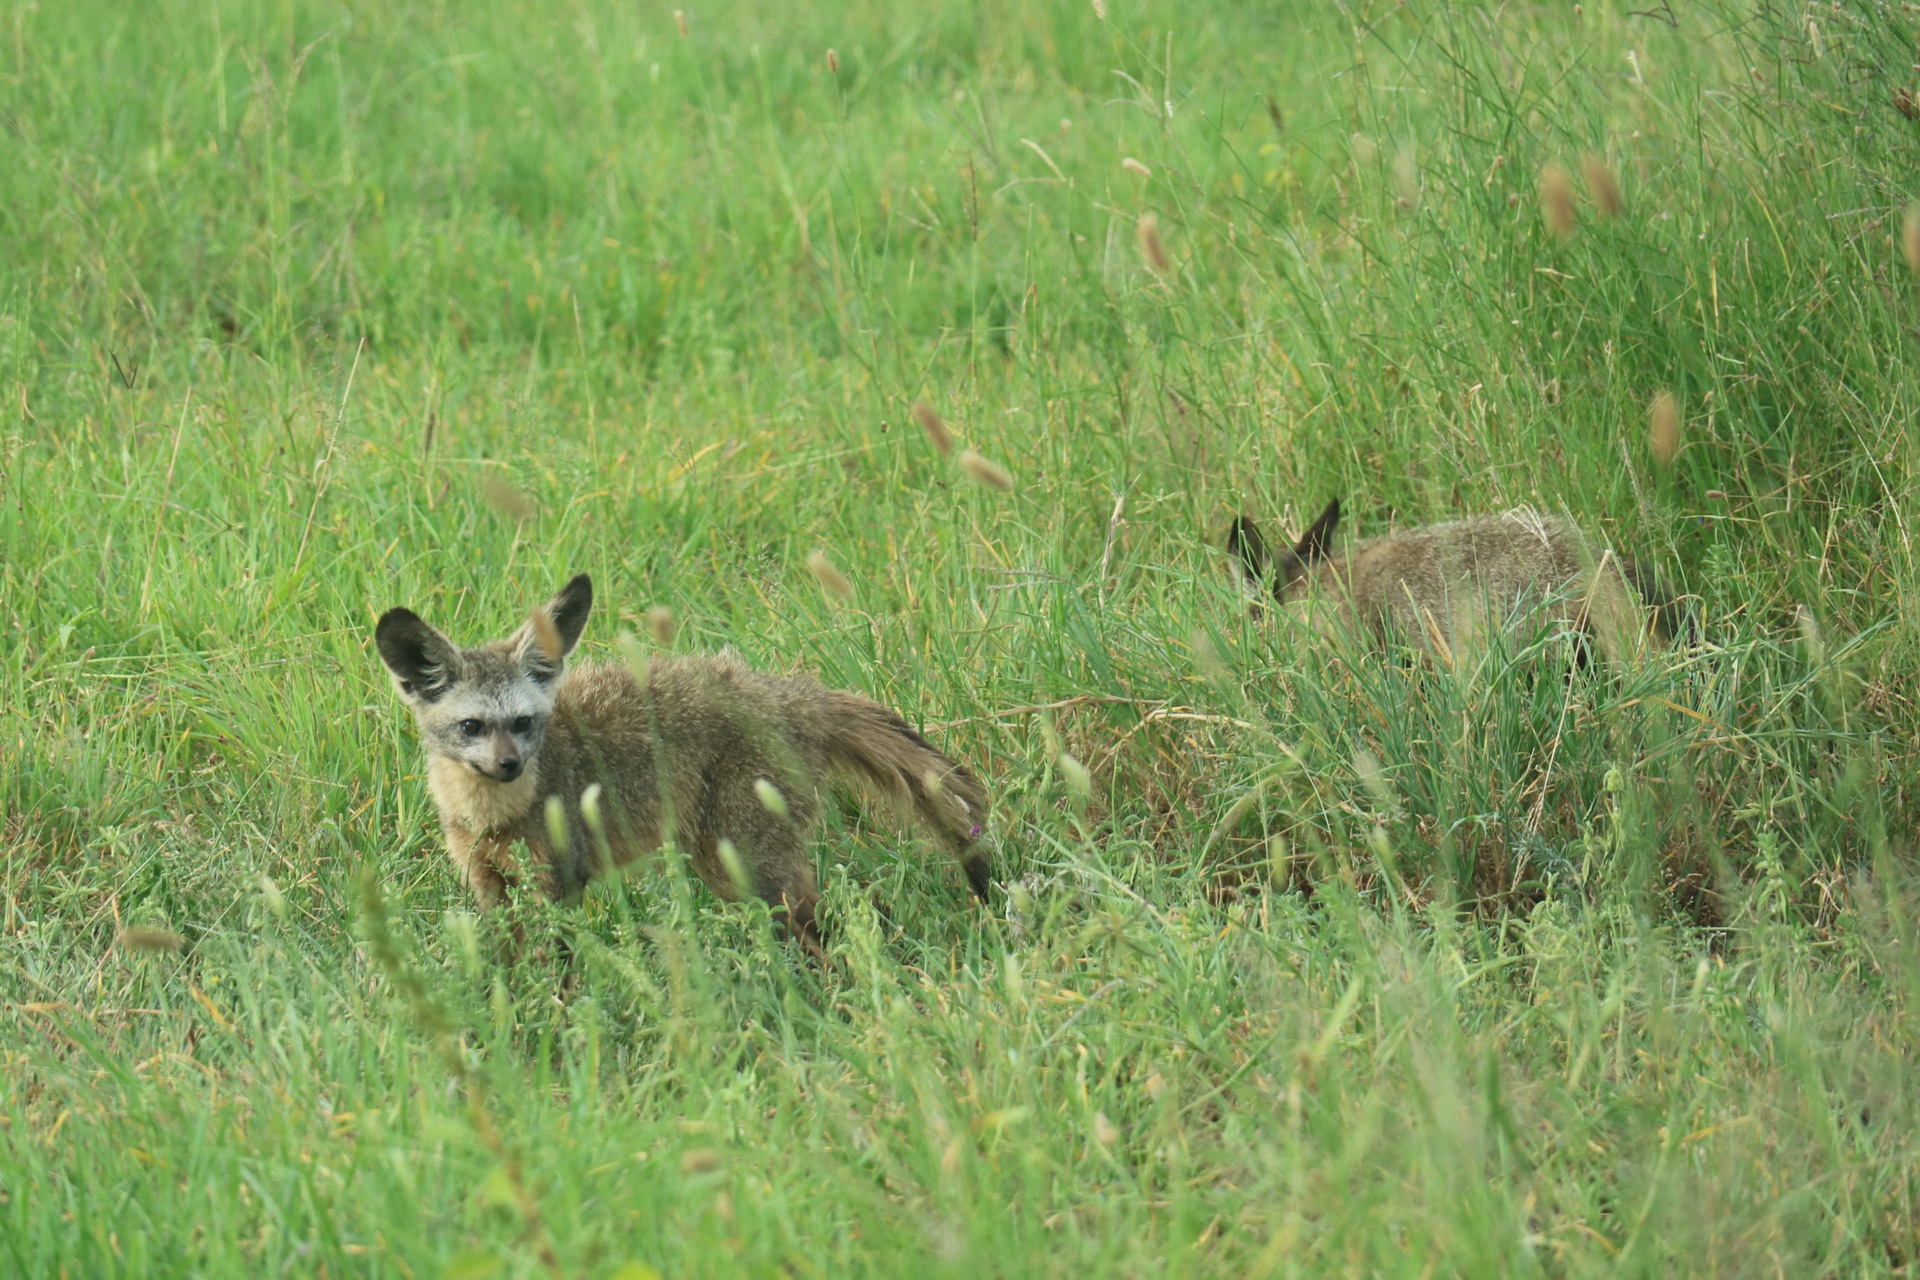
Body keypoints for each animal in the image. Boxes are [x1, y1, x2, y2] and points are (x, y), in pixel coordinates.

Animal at [374, 575, 990, 948]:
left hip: (738, 859)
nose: (509, 765)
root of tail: (787, 694)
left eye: (524, 723)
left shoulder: (557, 880)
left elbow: (557, 971)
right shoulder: (487, 883)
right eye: (472, 727)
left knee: (820, 918)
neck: (492, 816)